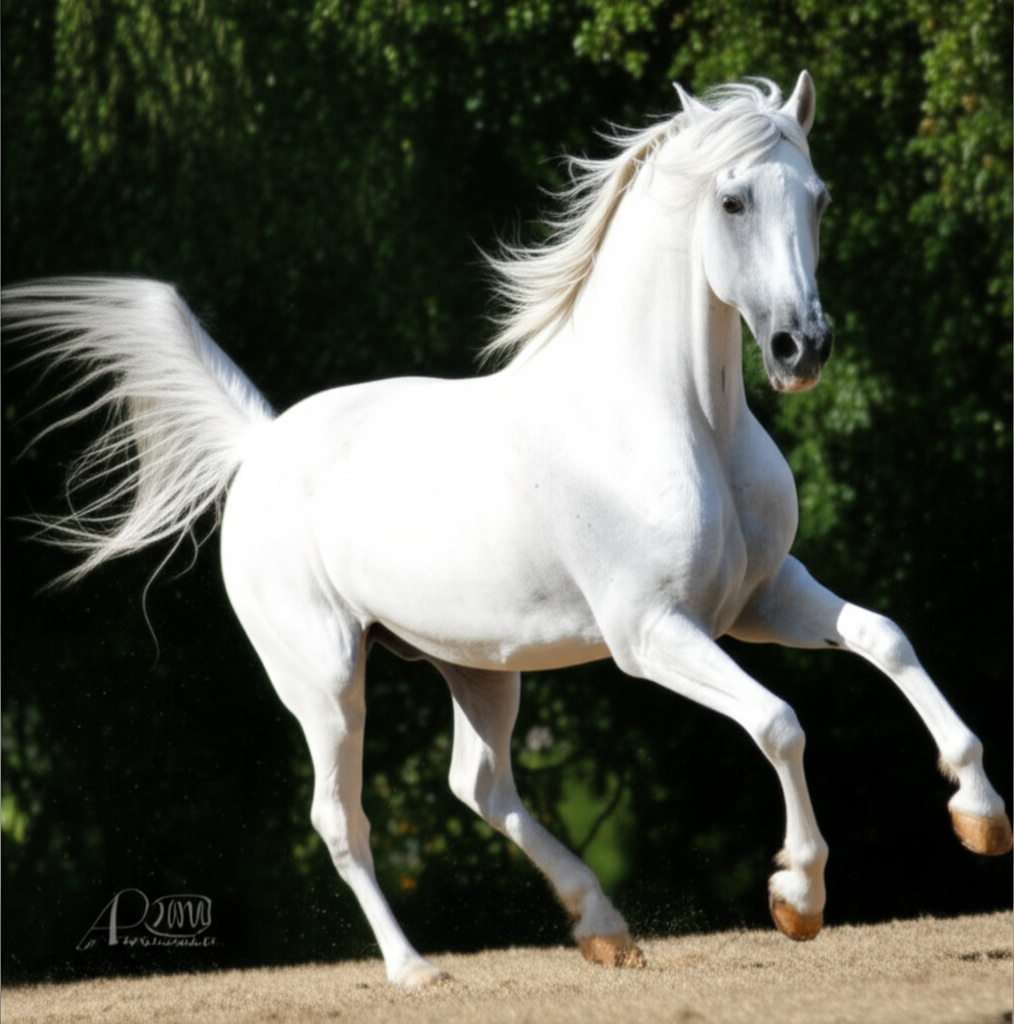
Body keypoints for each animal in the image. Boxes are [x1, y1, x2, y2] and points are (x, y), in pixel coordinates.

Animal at [4, 72, 1010, 986]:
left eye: (819, 198)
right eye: (731, 200)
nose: (804, 349)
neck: (676, 419)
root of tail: (261, 444)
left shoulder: (763, 600)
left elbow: (887, 639)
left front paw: (980, 816)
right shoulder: (654, 635)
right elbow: (779, 722)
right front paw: (798, 896)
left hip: (477, 667)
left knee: (479, 784)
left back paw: (603, 927)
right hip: (325, 678)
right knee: (343, 819)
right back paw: (416, 971)